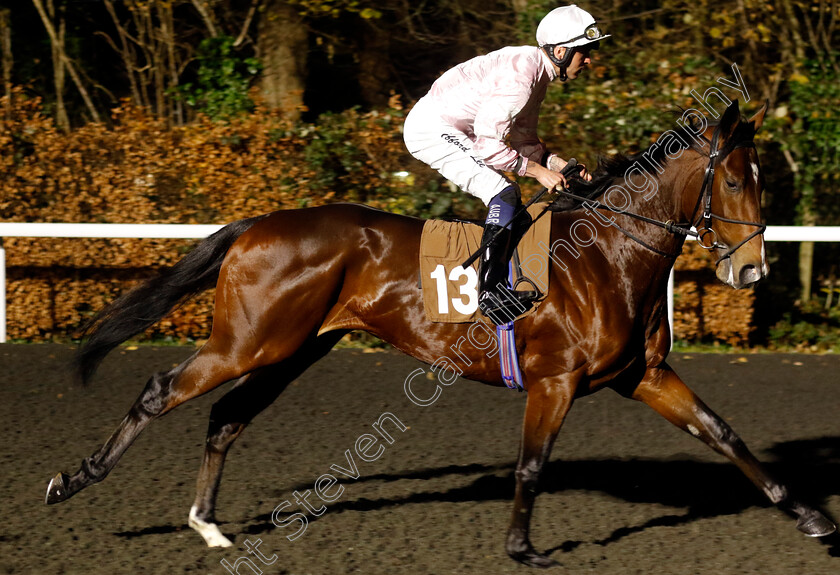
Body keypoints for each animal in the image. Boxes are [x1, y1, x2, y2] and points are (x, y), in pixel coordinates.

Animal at [44, 102, 832, 568]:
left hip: (294, 346)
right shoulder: (554, 381)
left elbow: (723, 433)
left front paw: (811, 516)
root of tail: (258, 224)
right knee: (161, 390)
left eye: (761, 179)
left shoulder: (644, 375)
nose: (753, 268)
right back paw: (72, 479)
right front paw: (522, 547)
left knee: (225, 416)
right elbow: (531, 465)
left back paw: (208, 523)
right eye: (735, 181)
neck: (608, 257)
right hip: (250, 340)